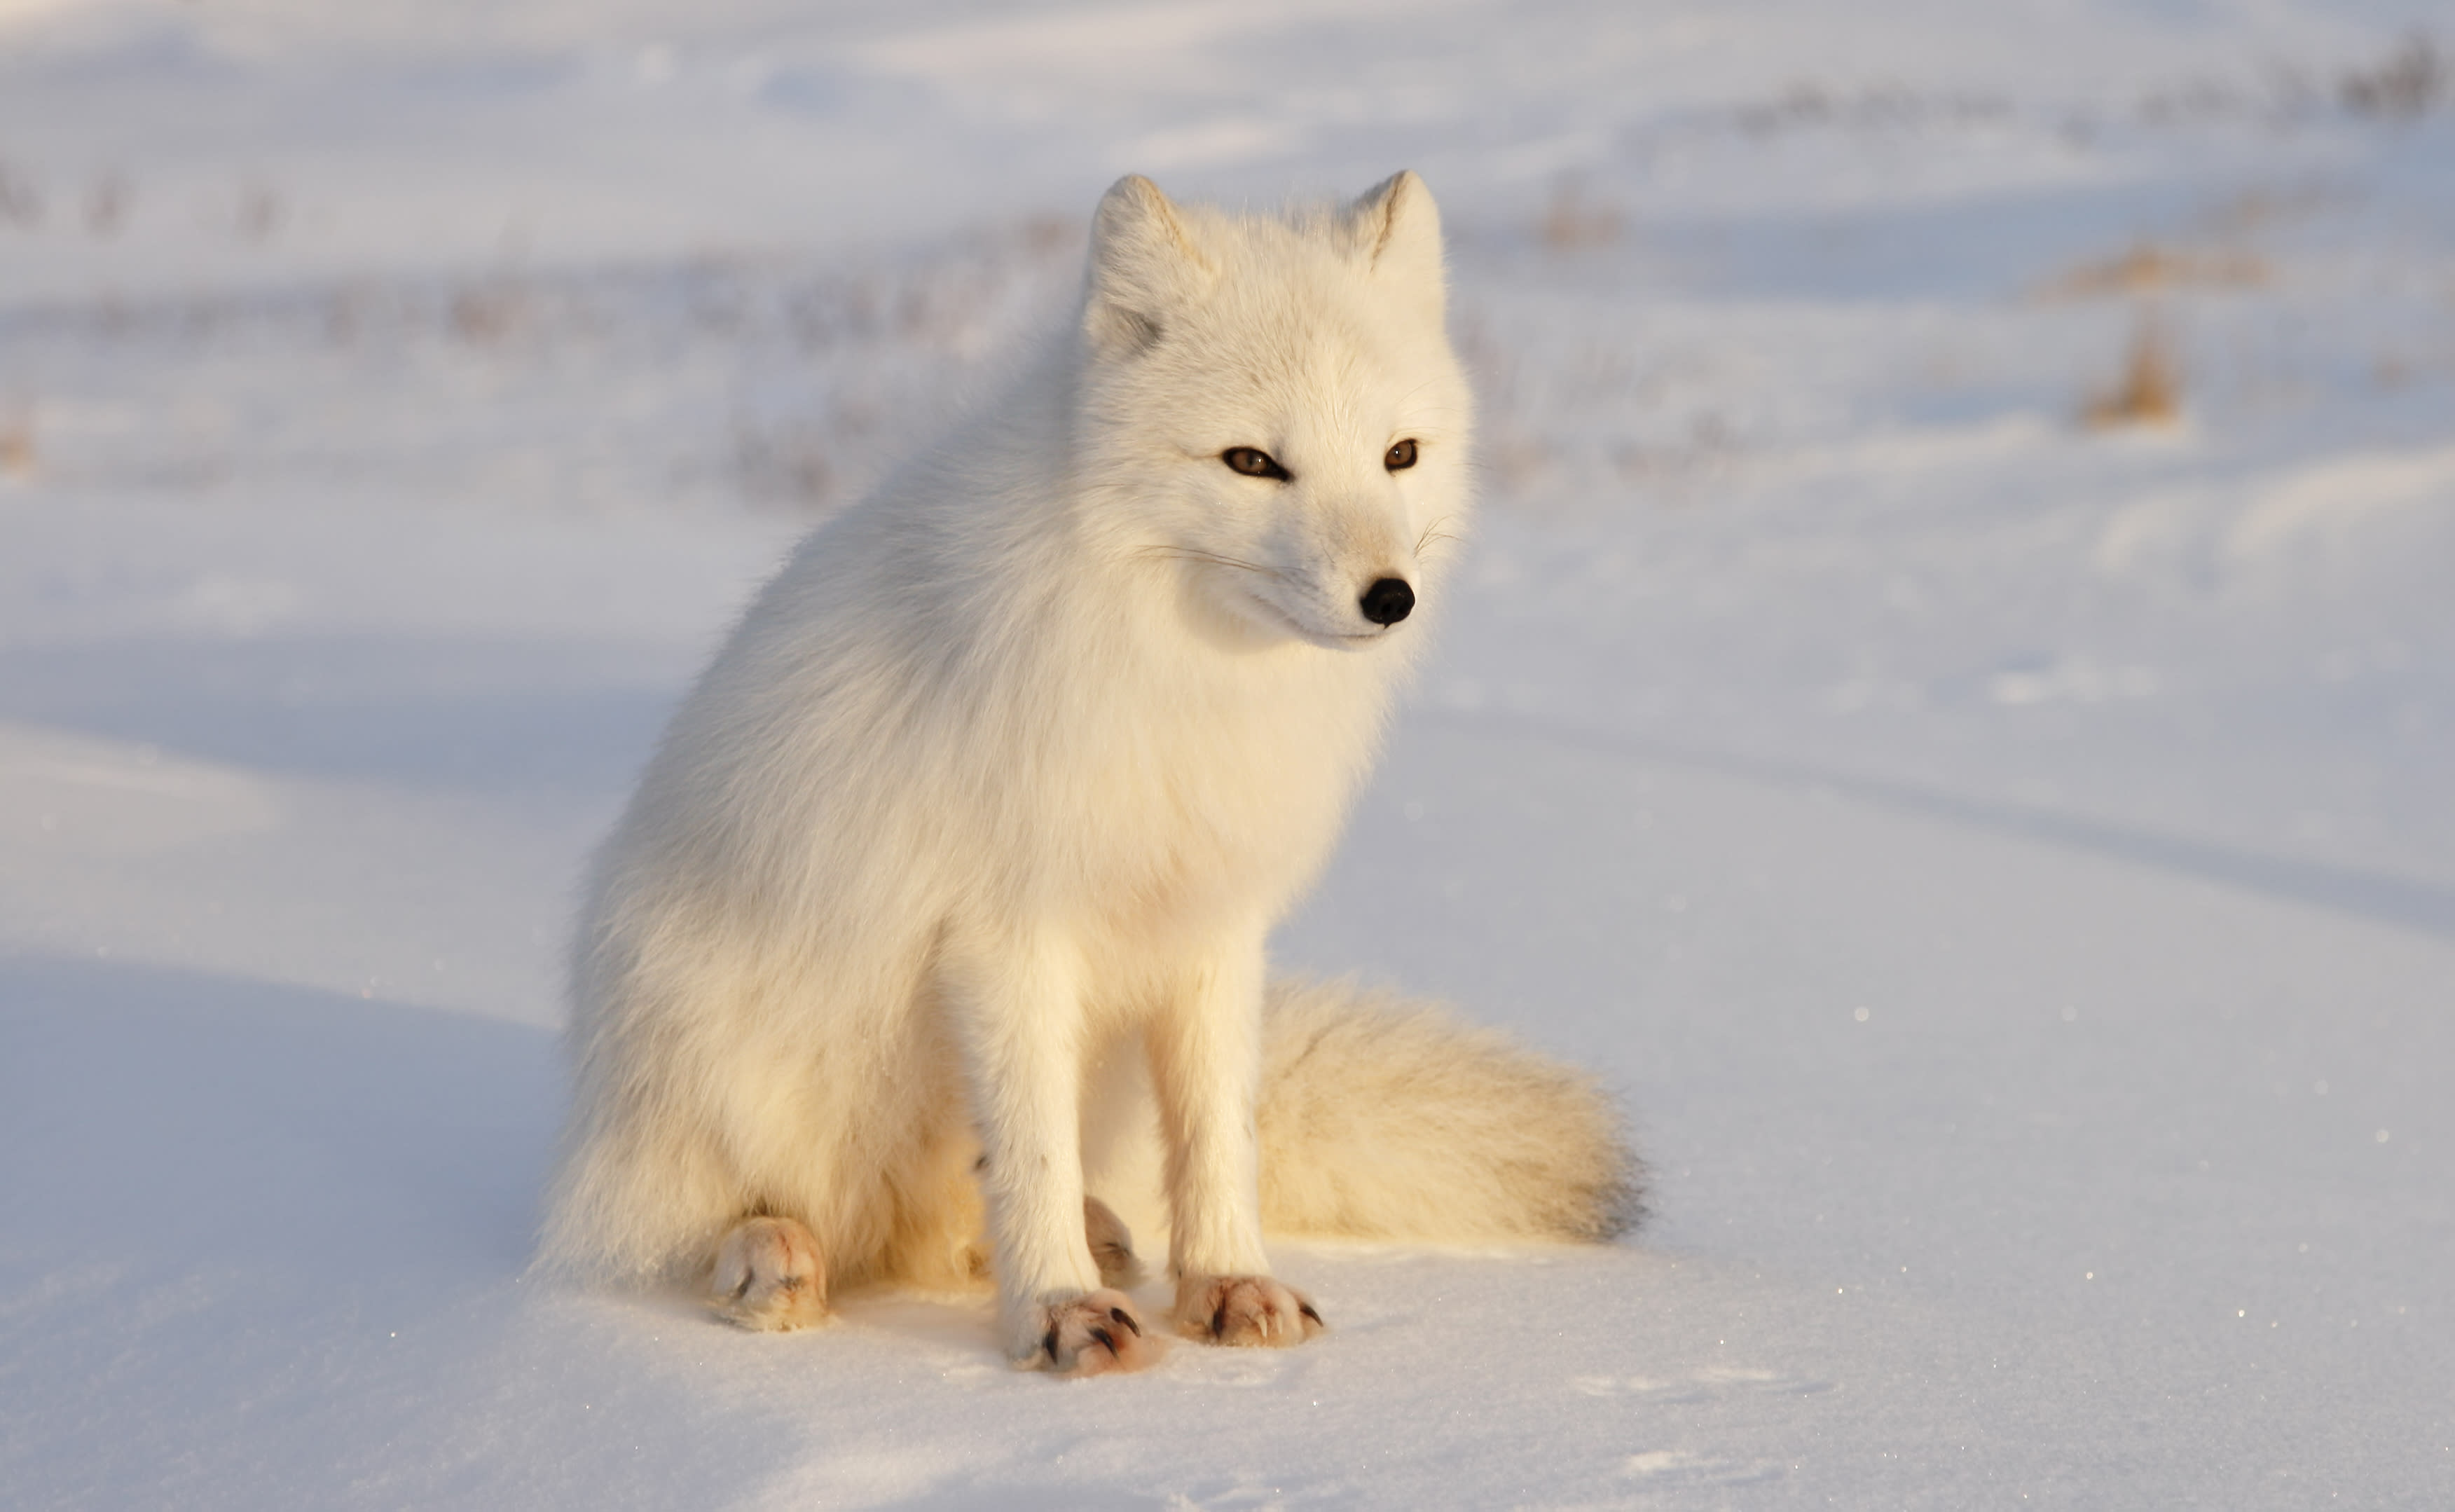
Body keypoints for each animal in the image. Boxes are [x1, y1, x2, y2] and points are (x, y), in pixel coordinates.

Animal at [547, 172, 1639, 1374]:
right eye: (1253, 462)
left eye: (1401, 454)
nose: (1388, 597)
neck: (1180, 672)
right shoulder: (1006, 934)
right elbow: (1031, 1149)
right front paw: (1057, 1309)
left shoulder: (1214, 922)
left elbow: (1217, 1134)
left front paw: (1227, 1282)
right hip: (722, 1055)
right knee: (690, 1228)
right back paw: (775, 1257)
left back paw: (1096, 1238)